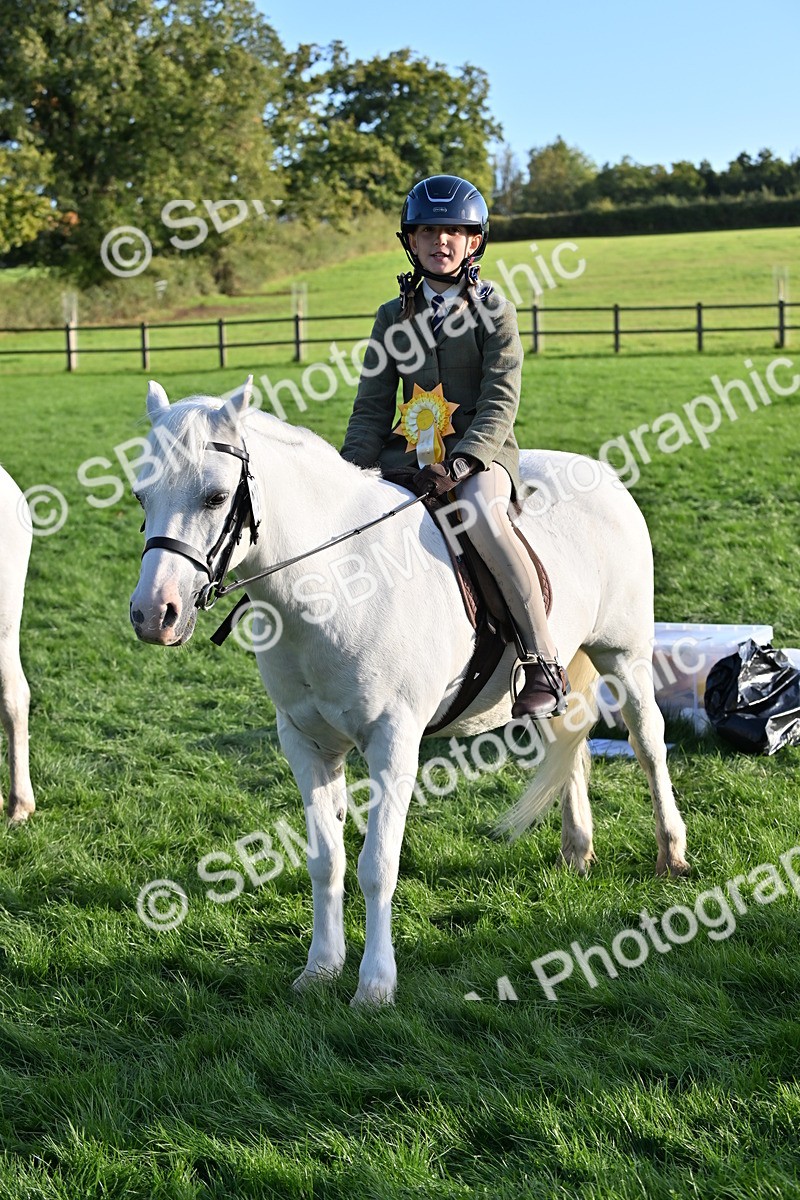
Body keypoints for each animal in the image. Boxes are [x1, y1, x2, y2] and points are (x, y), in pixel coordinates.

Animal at [130, 379, 688, 1006]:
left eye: (215, 496)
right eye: (142, 497)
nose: (153, 614)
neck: (334, 582)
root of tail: (601, 473)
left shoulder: (393, 741)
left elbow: (377, 865)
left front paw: (374, 985)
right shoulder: (306, 743)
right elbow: (325, 861)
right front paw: (319, 969)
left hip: (626, 655)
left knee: (648, 742)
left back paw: (671, 851)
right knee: (569, 742)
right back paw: (577, 850)